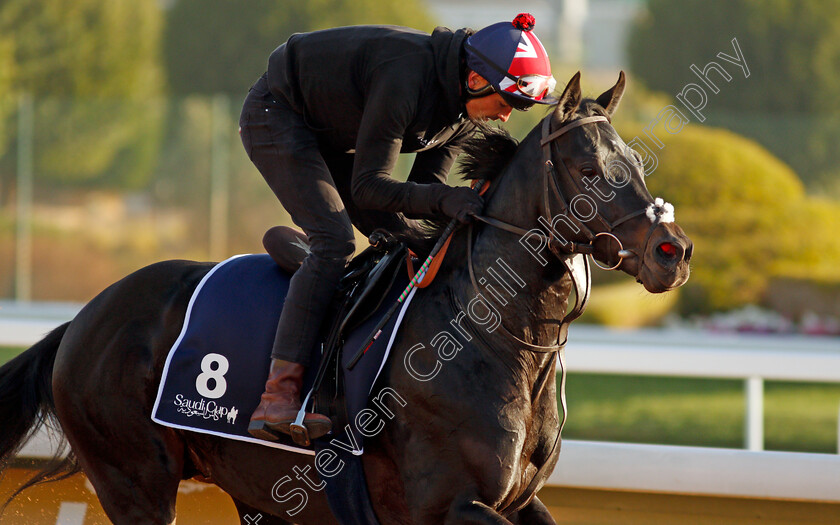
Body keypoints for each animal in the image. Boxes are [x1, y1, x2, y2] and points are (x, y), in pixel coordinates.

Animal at [0, 70, 692, 524]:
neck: (490, 337)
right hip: (134, 482)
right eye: (587, 169)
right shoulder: (444, 506)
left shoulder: (519, 501)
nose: (674, 251)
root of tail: (81, 320)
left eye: (636, 162)